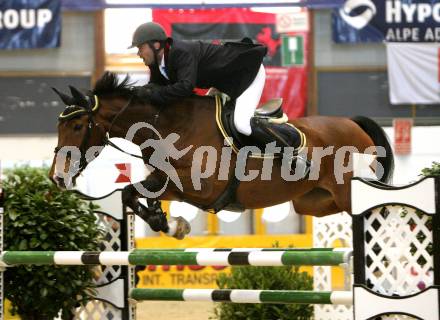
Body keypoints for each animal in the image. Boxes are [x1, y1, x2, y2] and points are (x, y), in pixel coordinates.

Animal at [49, 71, 396, 239]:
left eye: (78, 126)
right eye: (59, 125)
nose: (57, 177)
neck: (170, 125)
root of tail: (352, 123)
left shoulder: (200, 188)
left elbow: (140, 191)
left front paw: (172, 224)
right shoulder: (163, 179)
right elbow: (129, 194)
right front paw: (168, 224)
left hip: (349, 194)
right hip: (315, 202)